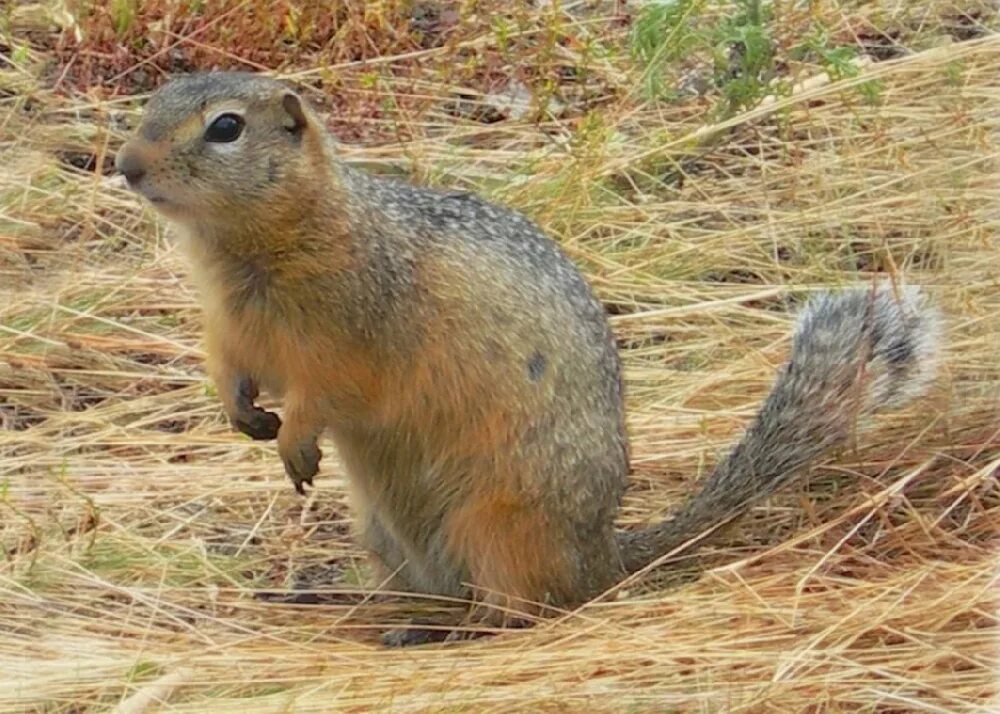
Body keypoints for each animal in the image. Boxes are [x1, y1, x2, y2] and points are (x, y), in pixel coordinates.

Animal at [115, 72, 936, 644]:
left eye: (226, 127)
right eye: (154, 98)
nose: (126, 166)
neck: (246, 251)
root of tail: (604, 554)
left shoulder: (348, 331)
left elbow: (328, 392)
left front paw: (293, 441)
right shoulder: (229, 328)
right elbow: (226, 367)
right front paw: (242, 414)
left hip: (499, 520)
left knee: (528, 608)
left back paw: (464, 630)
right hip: (384, 534)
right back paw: (403, 620)